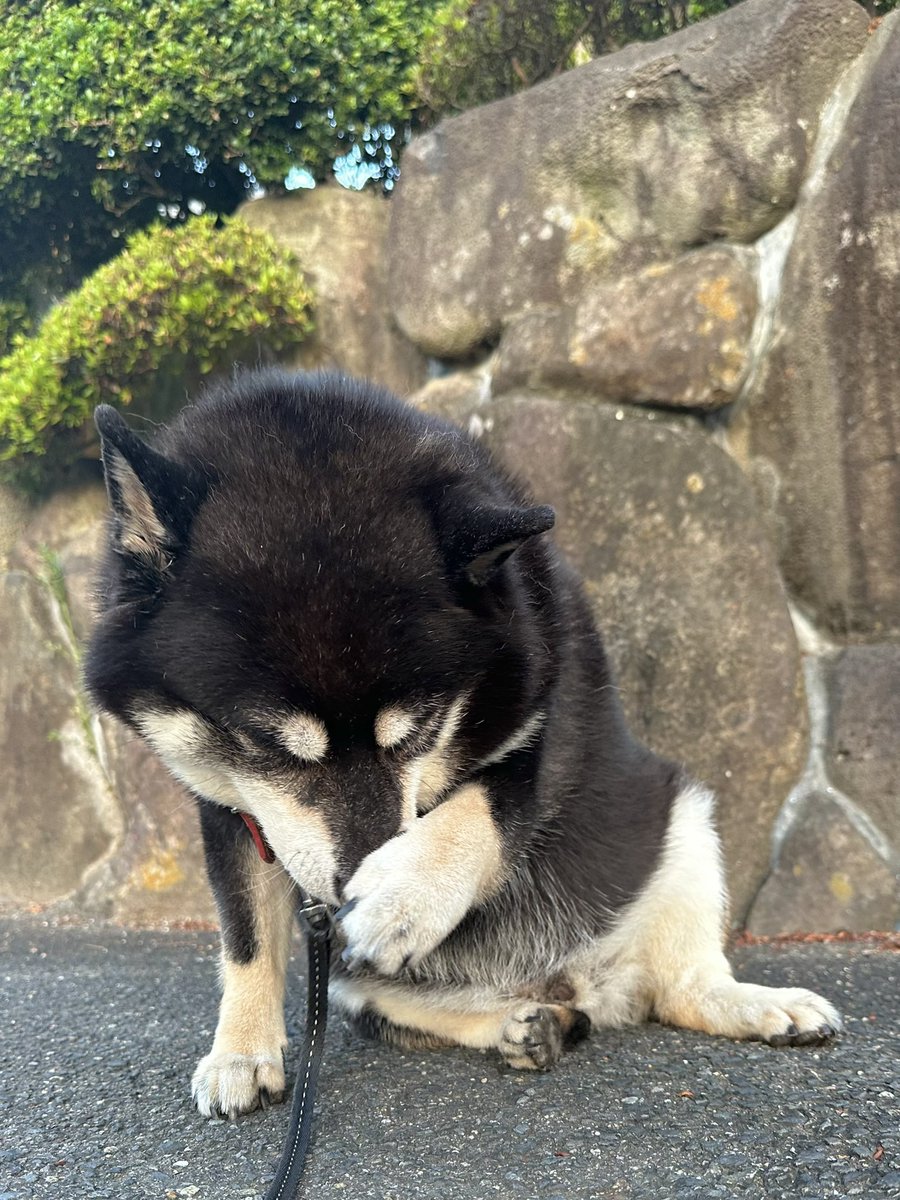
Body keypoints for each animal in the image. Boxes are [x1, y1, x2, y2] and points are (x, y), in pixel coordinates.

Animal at [84, 369, 844, 1118]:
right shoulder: (231, 812)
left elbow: (477, 813)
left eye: (419, 731)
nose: (343, 897)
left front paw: (400, 900)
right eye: (267, 745)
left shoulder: (539, 736)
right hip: (357, 988)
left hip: (683, 823)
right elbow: (247, 941)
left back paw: (758, 1006)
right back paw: (528, 1023)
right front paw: (242, 1051)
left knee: (684, 989)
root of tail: (589, 983)